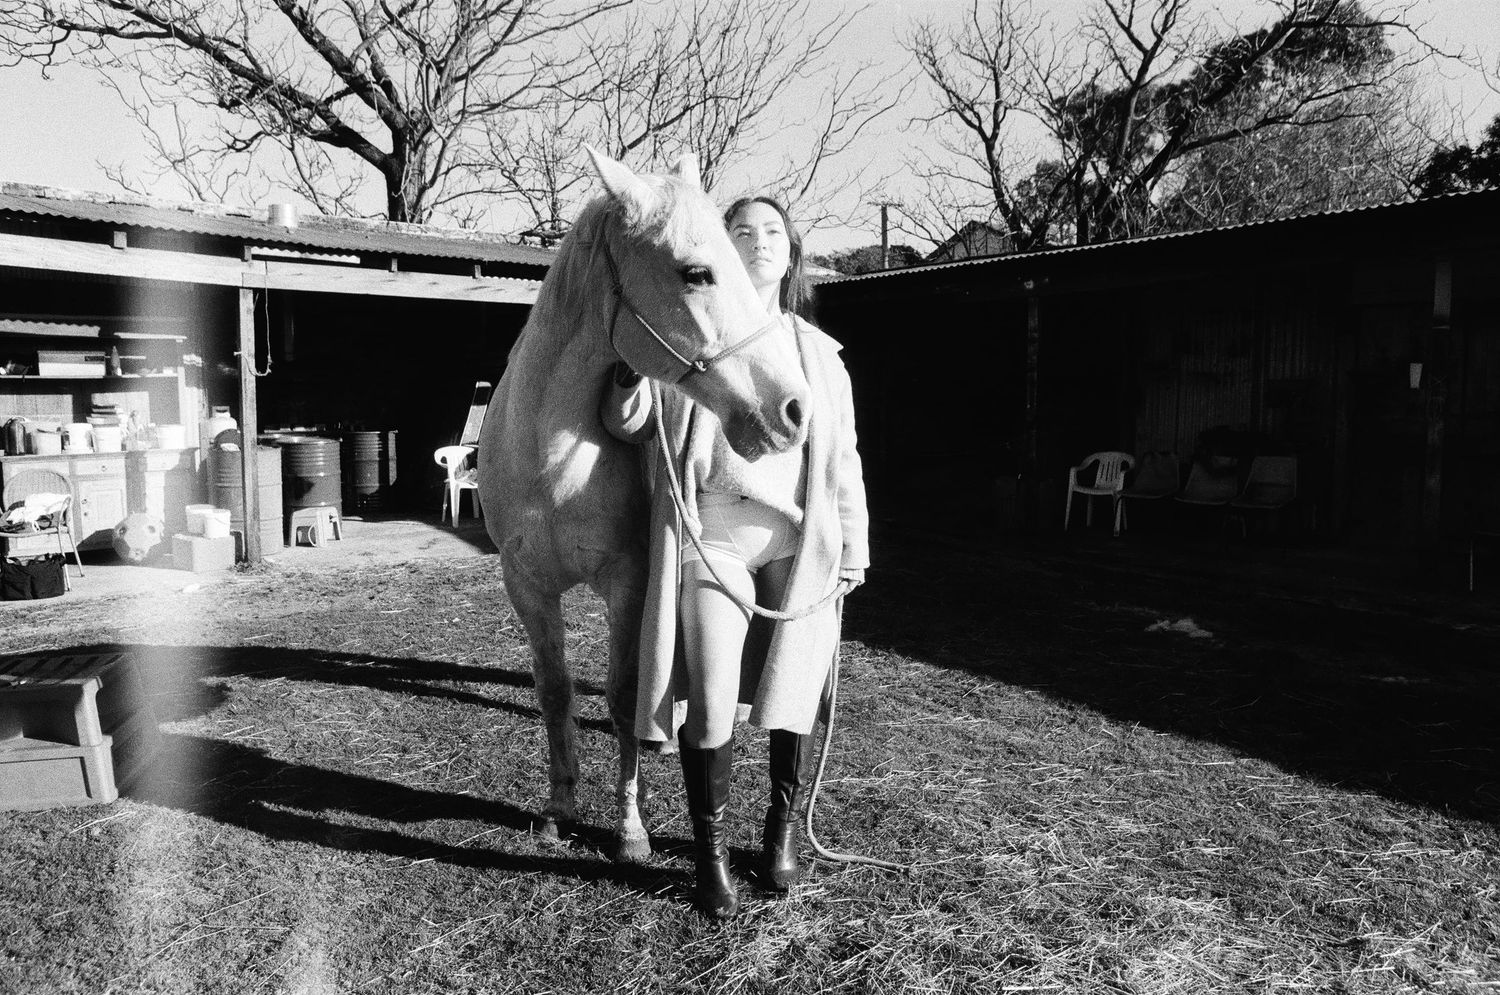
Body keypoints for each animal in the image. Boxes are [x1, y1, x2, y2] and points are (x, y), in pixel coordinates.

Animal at [477, 149, 812, 861]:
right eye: (696, 272)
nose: (794, 410)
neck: (550, 459)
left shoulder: (630, 581)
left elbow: (625, 694)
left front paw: (630, 831)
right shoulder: (526, 584)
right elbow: (555, 692)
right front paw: (560, 808)